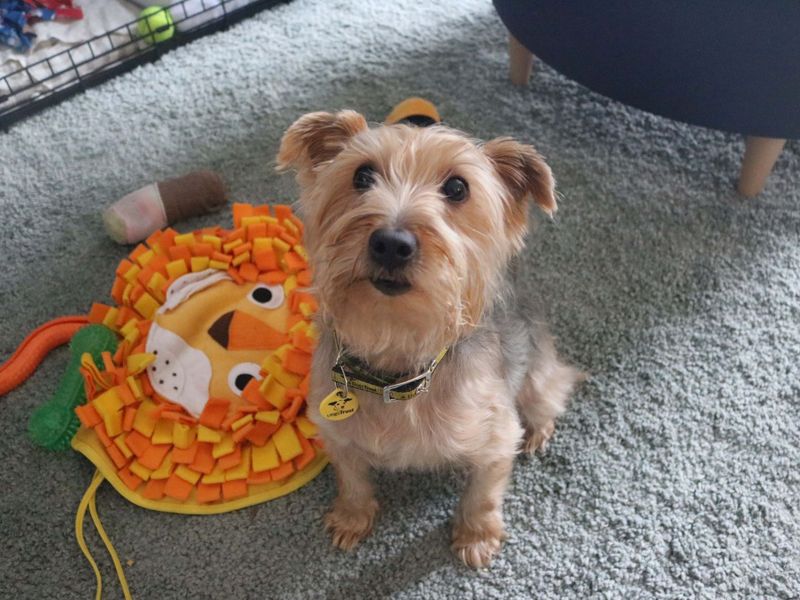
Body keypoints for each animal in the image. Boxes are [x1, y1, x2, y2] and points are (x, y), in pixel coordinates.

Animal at [278, 108, 580, 568]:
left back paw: (538, 429)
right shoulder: (336, 431)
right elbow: (352, 478)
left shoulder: (496, 437)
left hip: (537, 366)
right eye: (362, 176)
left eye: (457, 187)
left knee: (547, 392)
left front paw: (476, 536)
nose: (391, 242)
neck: (398, 355)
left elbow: (483, 493)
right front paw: (352, 517)